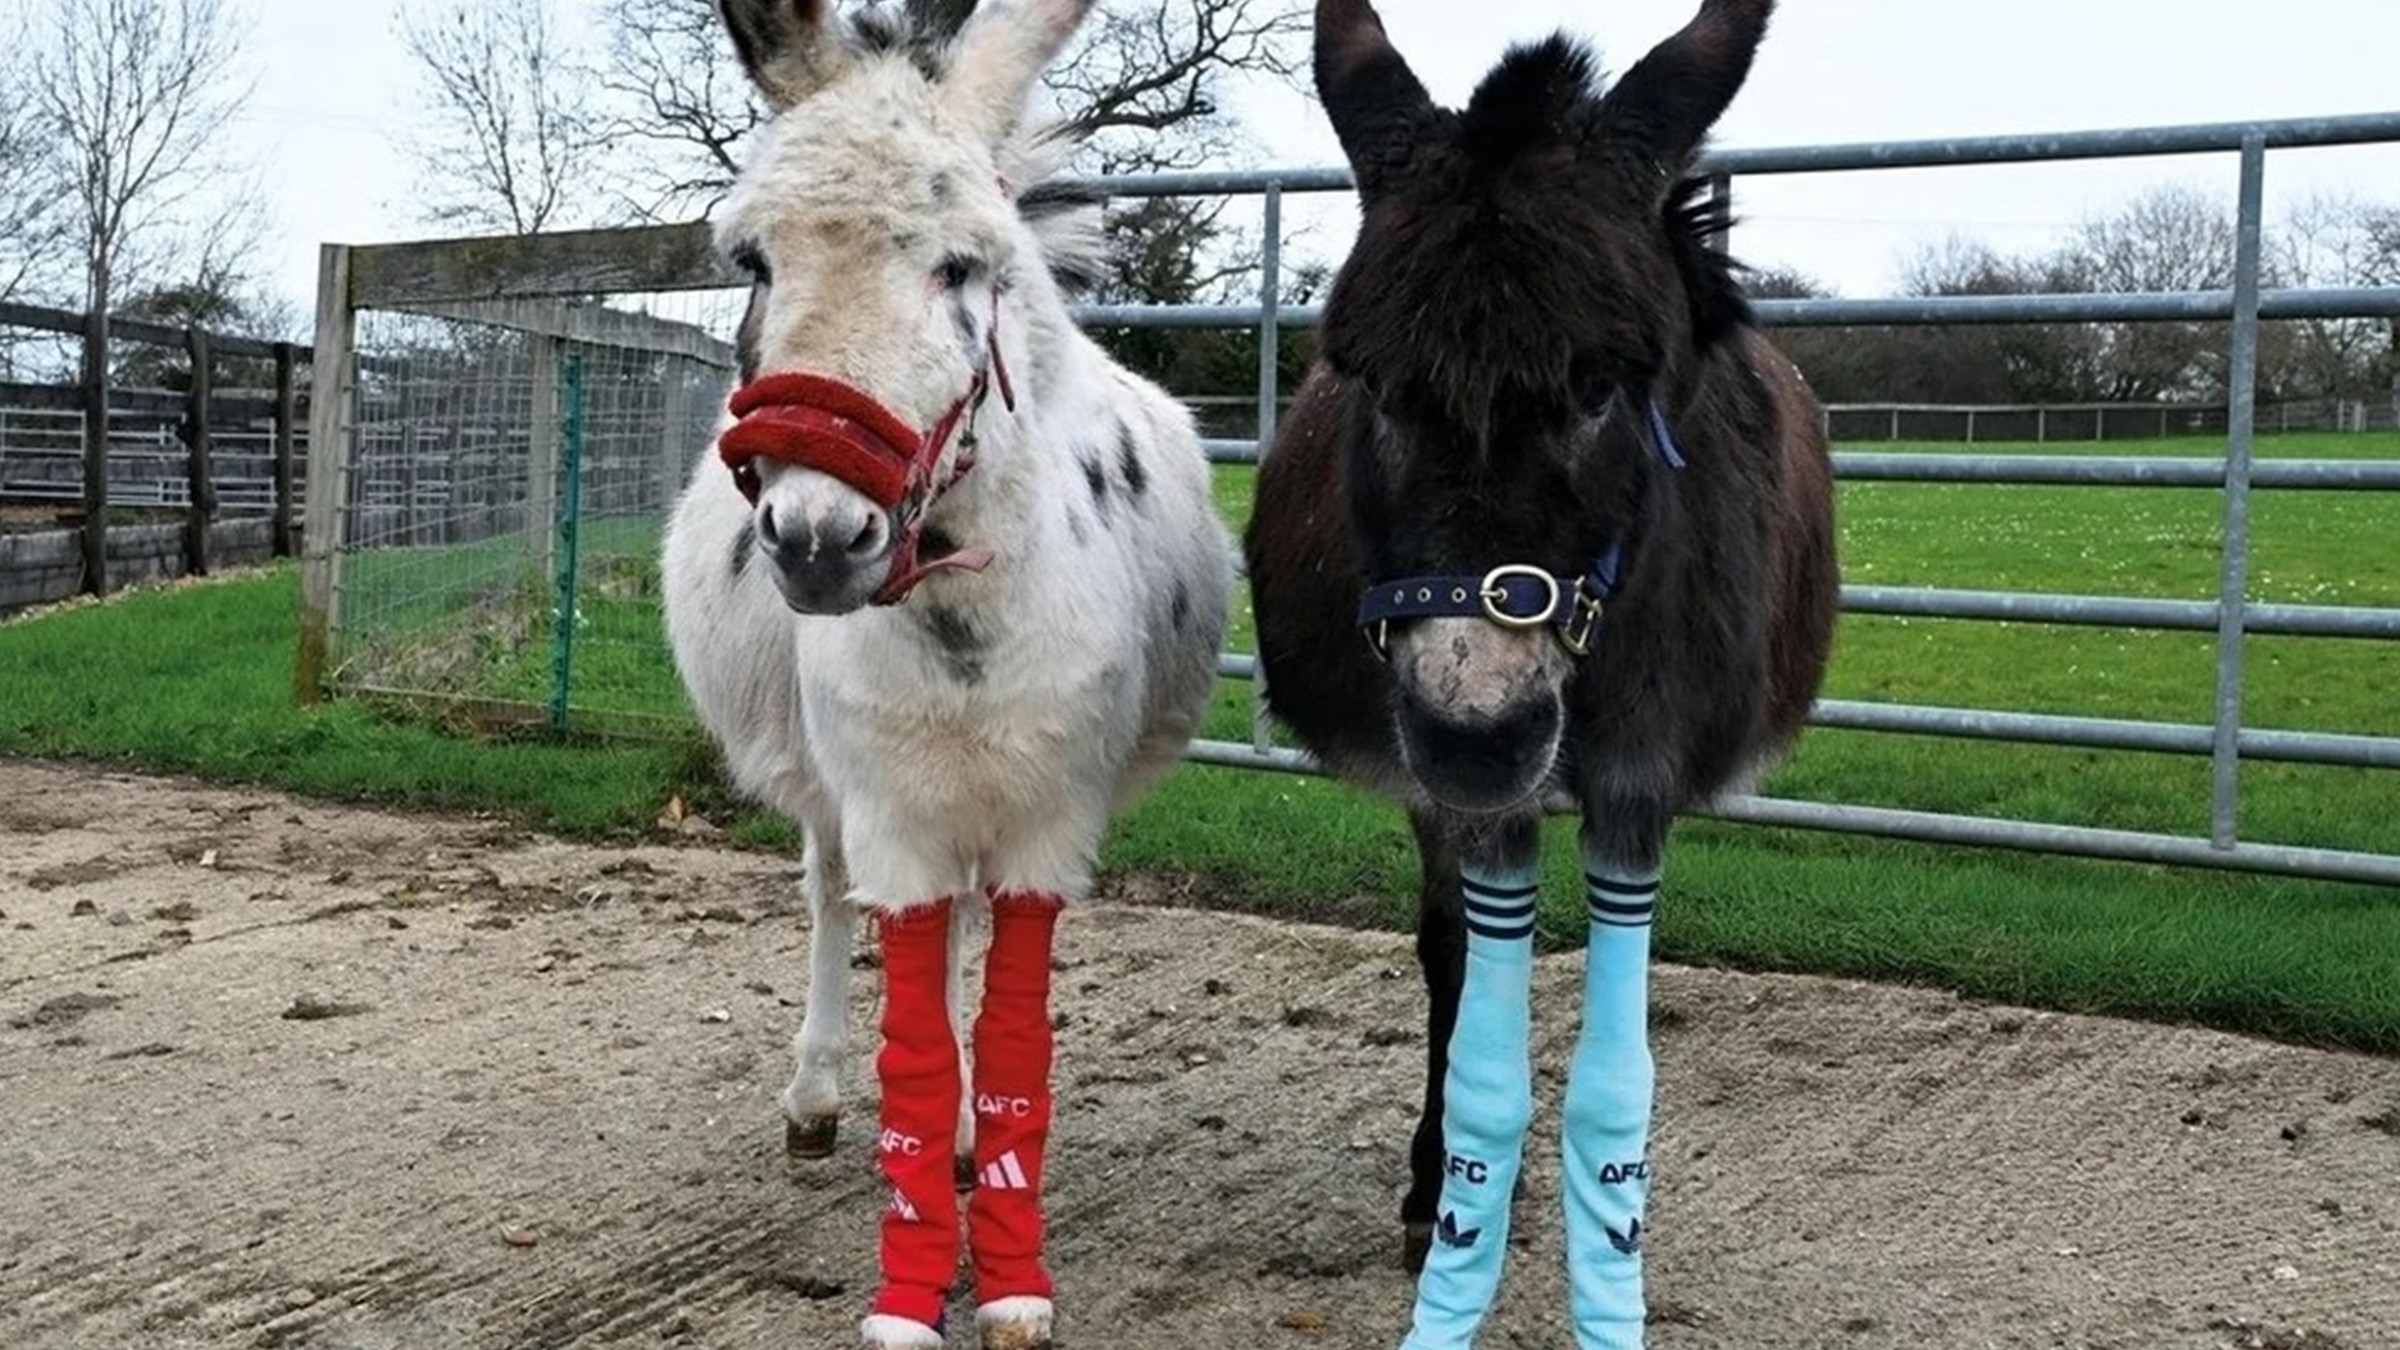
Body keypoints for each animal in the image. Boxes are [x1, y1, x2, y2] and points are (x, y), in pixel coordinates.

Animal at [659, 1, 1233, 1345]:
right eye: (753, 261)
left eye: (965, 267)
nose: (817, 542)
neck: (959, 622)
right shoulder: (892, 816)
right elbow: (913, 1031)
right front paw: (910, 1291)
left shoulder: (1047, 822)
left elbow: (1013, 1032)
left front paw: (1012, 1272)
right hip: (837, 791)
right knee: (827, 900)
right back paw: (816, 1099)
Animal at [1243, 0, 1837, 1344]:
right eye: (1367, 383)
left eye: (1604, 387)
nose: (1478, 735)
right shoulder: (1468, 795)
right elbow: (1478, 1033)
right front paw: (1453, 1207)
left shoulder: (1636, 785)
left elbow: (1616, 1080)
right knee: (1453, 952)